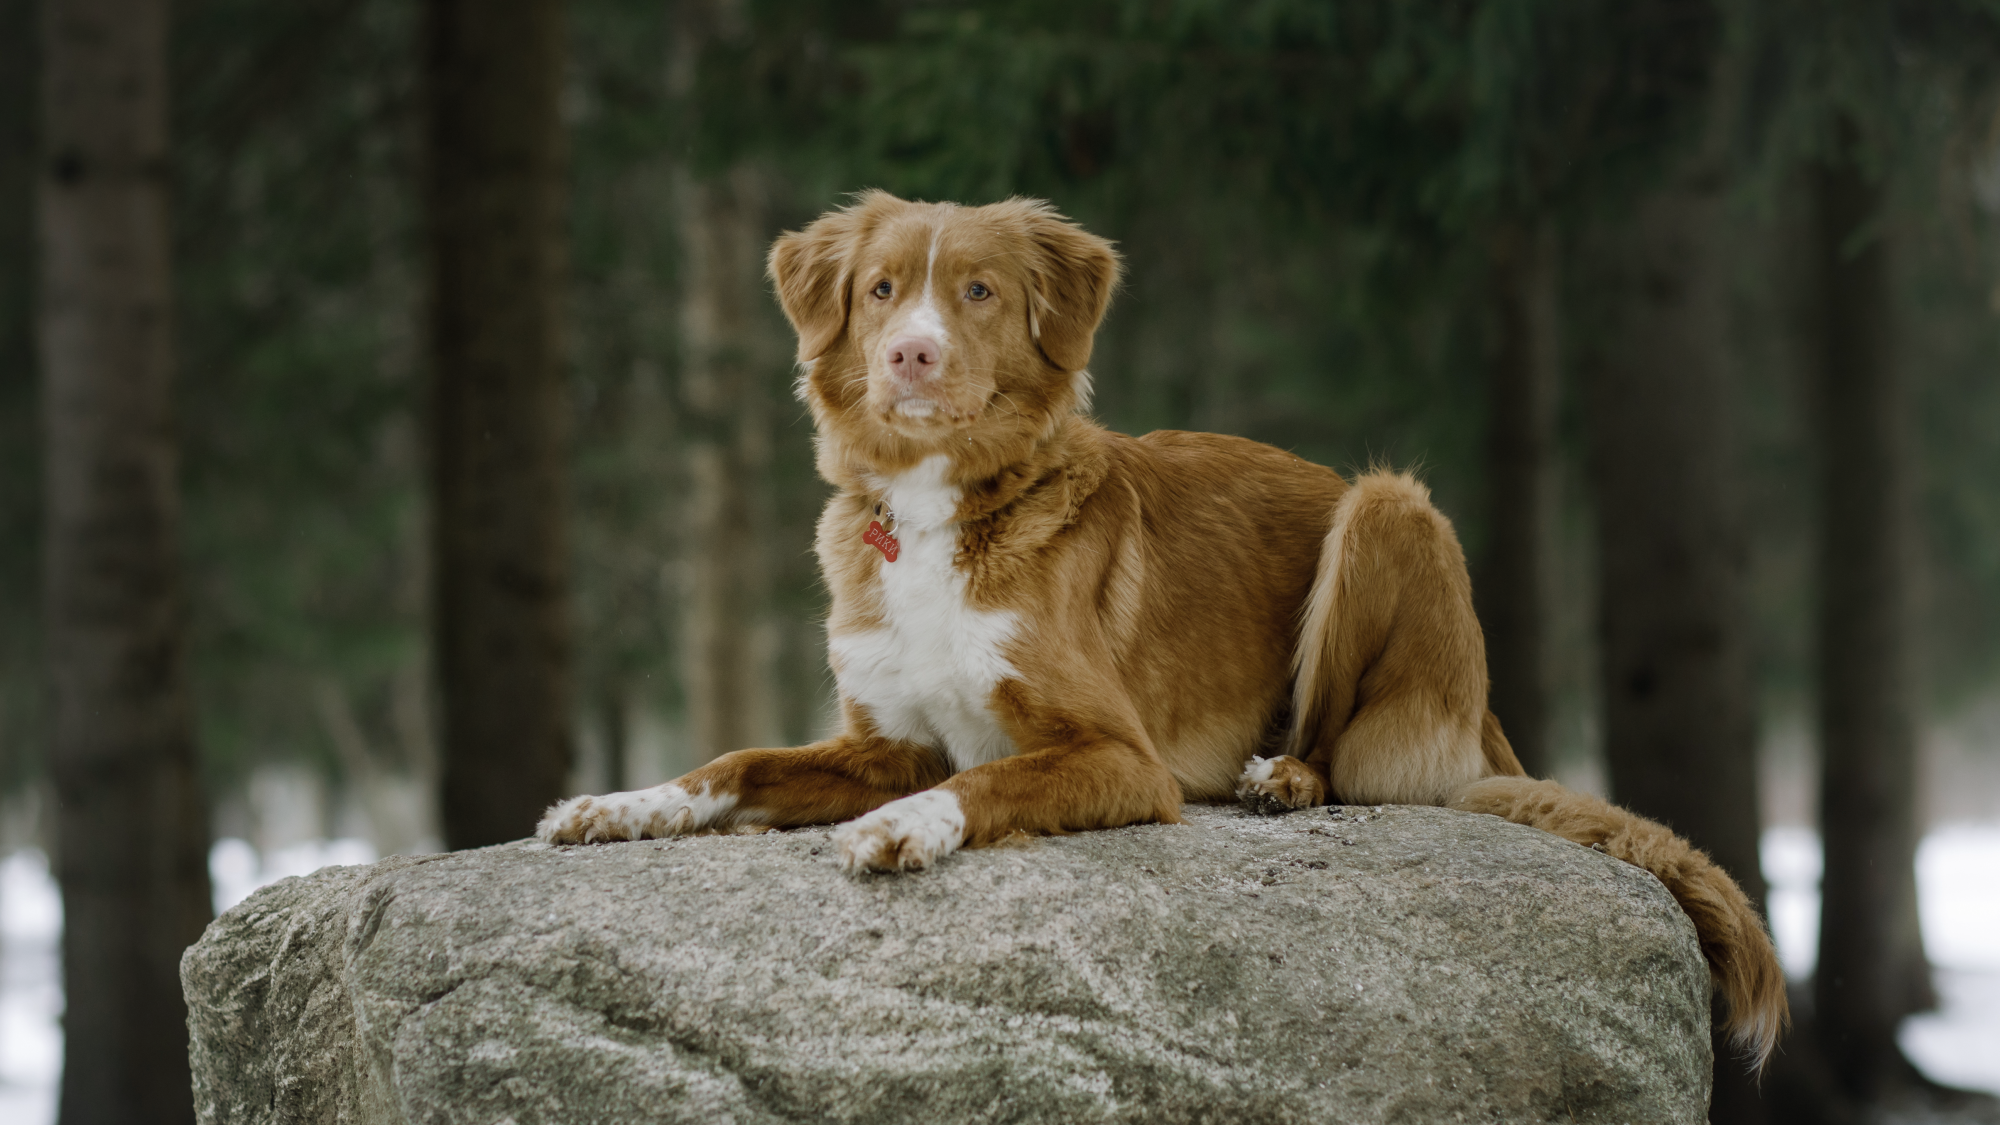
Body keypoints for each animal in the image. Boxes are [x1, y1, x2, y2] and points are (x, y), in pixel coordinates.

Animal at [532, 188, 1784, 1064]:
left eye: (977, 292)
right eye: (882, 290)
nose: (910, 355)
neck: (947, 505)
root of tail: (1480, 719)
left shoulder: (1117, 756)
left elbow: (987, 778)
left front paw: (905, 829)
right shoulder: (880, 739)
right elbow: (738, 761)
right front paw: (620, 805)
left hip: (1389, 510)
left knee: (1346, 752)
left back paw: (1282, 777)